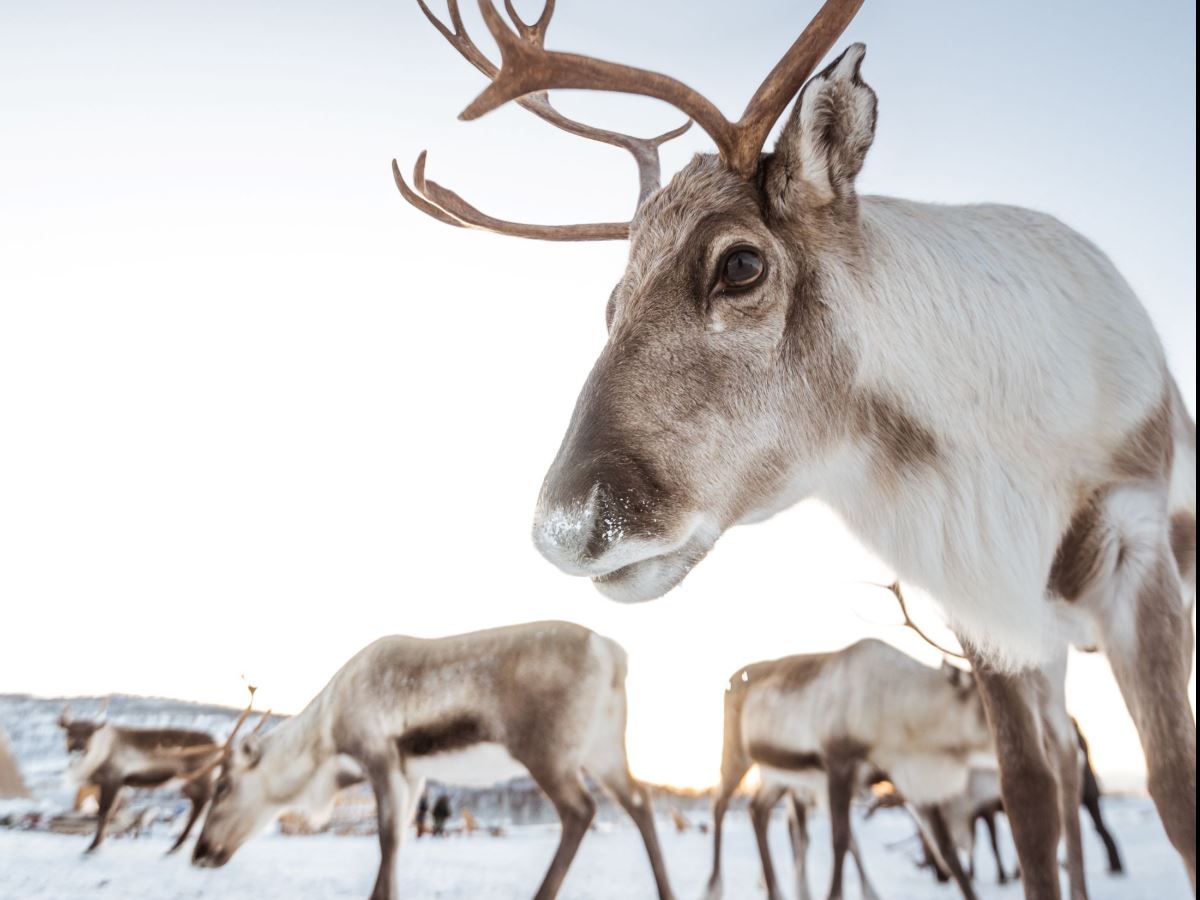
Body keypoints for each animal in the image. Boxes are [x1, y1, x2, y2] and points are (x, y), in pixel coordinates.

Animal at [59, 703, 230, 855]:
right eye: (69, 732)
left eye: (90, 733)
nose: (78, 749)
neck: (99, 754)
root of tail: (219, 744)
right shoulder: (118, 784)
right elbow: (109, 813)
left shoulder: (113, 779)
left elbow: (104, 813)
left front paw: (93, 846)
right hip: (190, 783)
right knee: (201, 804)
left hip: (199, 779)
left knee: (204, 803)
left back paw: (178, 846)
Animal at [190, 621, 674, 900]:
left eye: (223, 785)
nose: (199, 853)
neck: (327, 739)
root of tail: (613, 653)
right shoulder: (414, 775)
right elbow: (400, 841)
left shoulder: (381, 758)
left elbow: (387, 842)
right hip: (604, 749)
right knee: (640, 801)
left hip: (547, 752)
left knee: (581, 810)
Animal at [393, 2, 1197, 897]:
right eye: (611, 300)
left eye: (741, 263)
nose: (567, 527)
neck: (997, 456)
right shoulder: (984, 609)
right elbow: (1028, 802)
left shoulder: (1137, 552)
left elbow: (1176, 790)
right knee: (1058, 765)